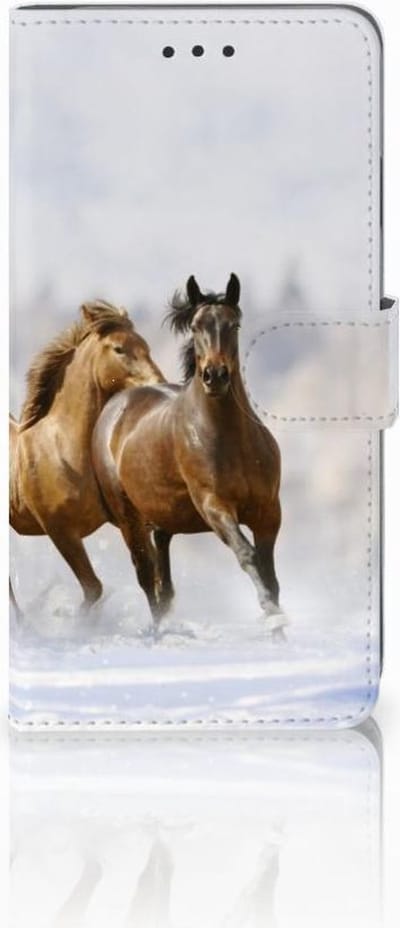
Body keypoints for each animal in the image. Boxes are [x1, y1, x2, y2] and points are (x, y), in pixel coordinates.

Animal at [10, 299, 164, 611]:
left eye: (146, 346)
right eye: (119, 349)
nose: (158, 382)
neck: (63, 450)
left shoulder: (128, 521)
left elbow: (150, 576)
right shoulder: (61, 531)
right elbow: (93, 588)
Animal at [92, 275, 286, 632]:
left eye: (234, 324)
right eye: (196, 327)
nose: (215, 376)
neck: (232, 442)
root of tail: (116, 405)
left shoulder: (268, 512)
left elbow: (269, 573)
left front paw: (278, 627)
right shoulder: (215, 507)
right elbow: (247, 555)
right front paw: (271, 614)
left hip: (163, 519)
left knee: (163, 581)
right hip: (129, 519)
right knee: (147, 578)